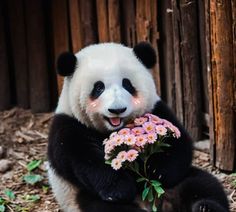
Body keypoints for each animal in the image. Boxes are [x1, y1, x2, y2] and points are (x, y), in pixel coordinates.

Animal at [47, 42, 230, 211]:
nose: (117, 109)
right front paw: (119, 188)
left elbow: (177, 145)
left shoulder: (156, 110)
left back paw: (205, 207)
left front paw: (157, 171)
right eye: (99, 87)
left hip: (181, 184)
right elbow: (84, 159)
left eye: (127, 84)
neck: (113, 130)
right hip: (80, 198)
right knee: (105, 207)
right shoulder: (68, 124)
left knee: (202, 184)